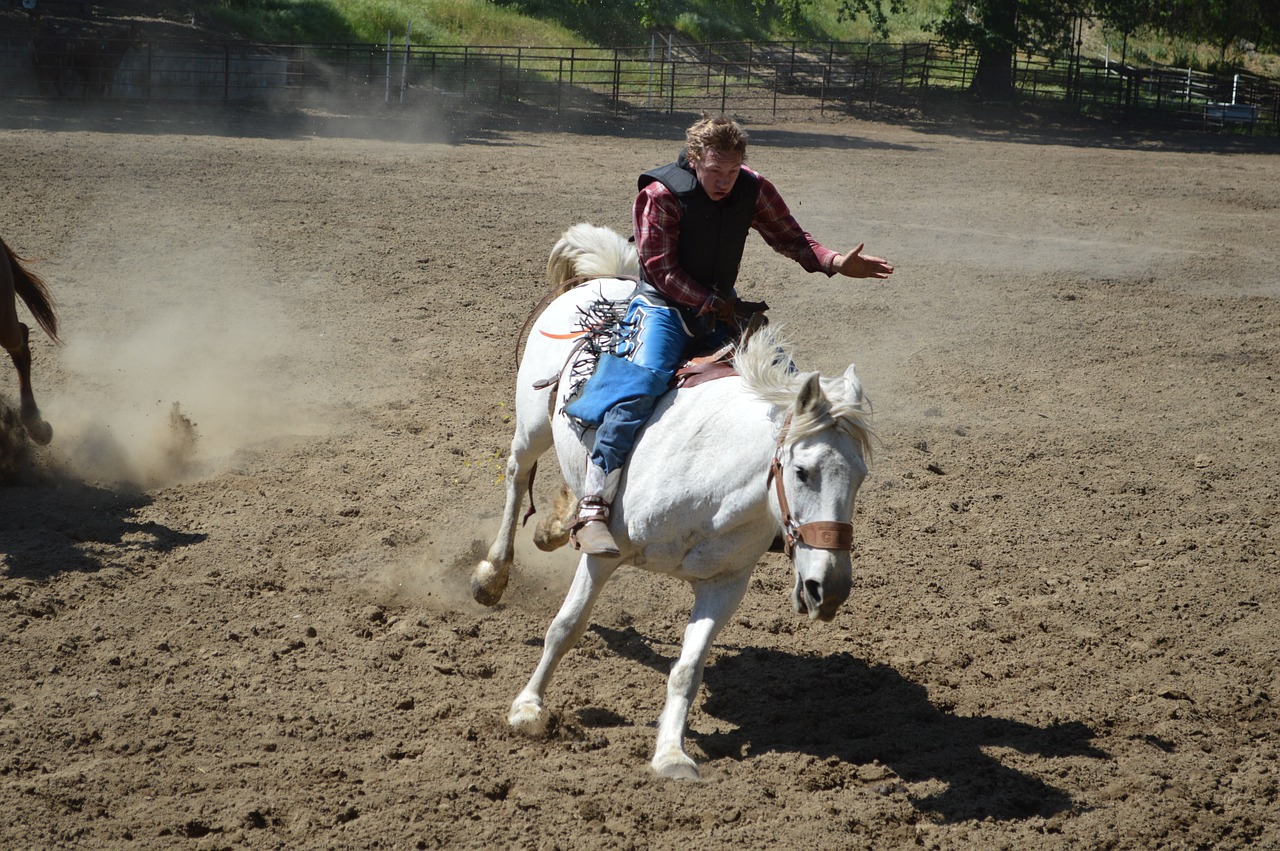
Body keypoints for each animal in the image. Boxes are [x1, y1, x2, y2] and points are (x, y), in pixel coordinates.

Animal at [476, 223, 875, 778]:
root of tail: (611, 280)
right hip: (531, 425)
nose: (829, 589)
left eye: (860, 478)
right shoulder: (605, 555)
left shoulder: (725, 584)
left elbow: (688, 668)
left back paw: (556, 527)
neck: (712, 490)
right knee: (517, 478)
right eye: (802, 471)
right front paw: (528, 709)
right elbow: (566, 627)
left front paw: (671, 754)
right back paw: (492, 575)